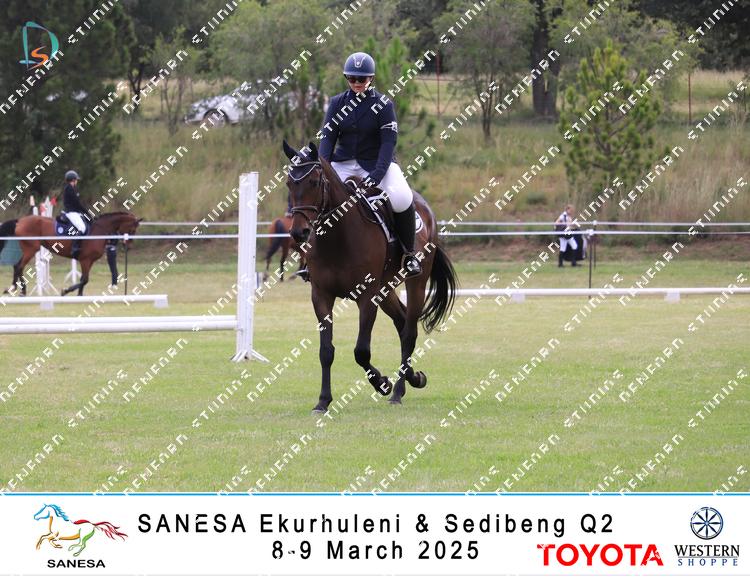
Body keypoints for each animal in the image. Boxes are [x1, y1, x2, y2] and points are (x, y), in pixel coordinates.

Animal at [0, 211, 141, 296]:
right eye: (132, 229)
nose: (128, 247)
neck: (99, 230)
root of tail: (20, 221)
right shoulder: (86, 260)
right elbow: (84, 279)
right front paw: (66, 291)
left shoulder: (89, 261)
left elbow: (84, 279)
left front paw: (79, 295)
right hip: (31, 249)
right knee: (19, 266)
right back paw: (20, 290)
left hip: (29, 249)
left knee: (17, 266)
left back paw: (13, 288)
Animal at [283, 140, 457, 410]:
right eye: (289, 184)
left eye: (313, 182)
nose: (299, 233)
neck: (337, 237)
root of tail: (425, 207)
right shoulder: (321, 296)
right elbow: (326, 351)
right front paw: (323, 401)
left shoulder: (367, 297)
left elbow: (361, 351)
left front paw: (382, 383)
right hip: (386, 290)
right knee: (401, 322)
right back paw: (413, 378)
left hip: (415, 284)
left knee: (409, 332)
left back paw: (398, 391)